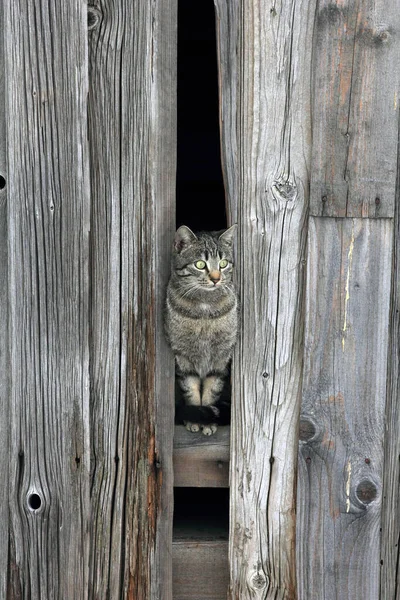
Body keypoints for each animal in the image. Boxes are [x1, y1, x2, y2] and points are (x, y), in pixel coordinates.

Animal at [165, 225, 238, 436]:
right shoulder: (183, 359)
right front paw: (194, 421)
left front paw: (208, 423)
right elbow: (191, 391)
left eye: (223, 263)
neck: (204, 308)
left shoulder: (221, 359)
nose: (216, 278)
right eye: (199, 264)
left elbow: (211, 393)